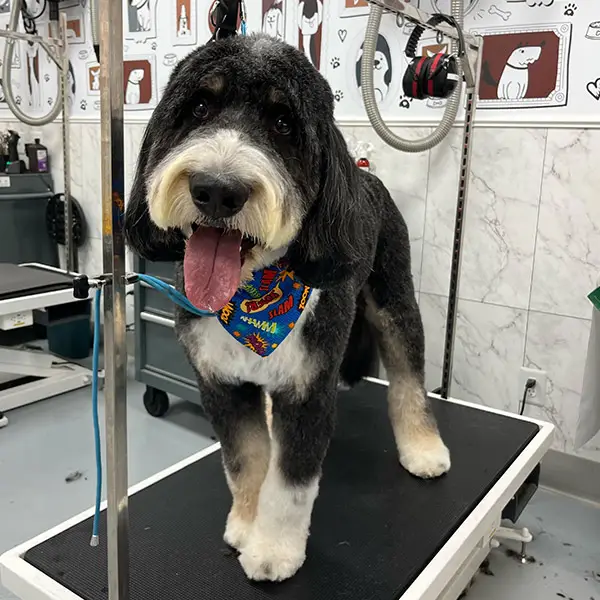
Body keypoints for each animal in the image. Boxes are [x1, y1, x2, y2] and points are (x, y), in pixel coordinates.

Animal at [124, 31, 448, 580]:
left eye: (283, 124)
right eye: (198, 107)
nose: (217, 189)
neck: (251, 299)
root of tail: (364, 176)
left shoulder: (307, 388)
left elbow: (292, 483)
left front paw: (273, 550)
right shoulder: (220, 384)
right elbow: (246, 460)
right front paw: (246, 524)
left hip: (394, 298)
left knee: (409, 377)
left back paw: (423, 448)